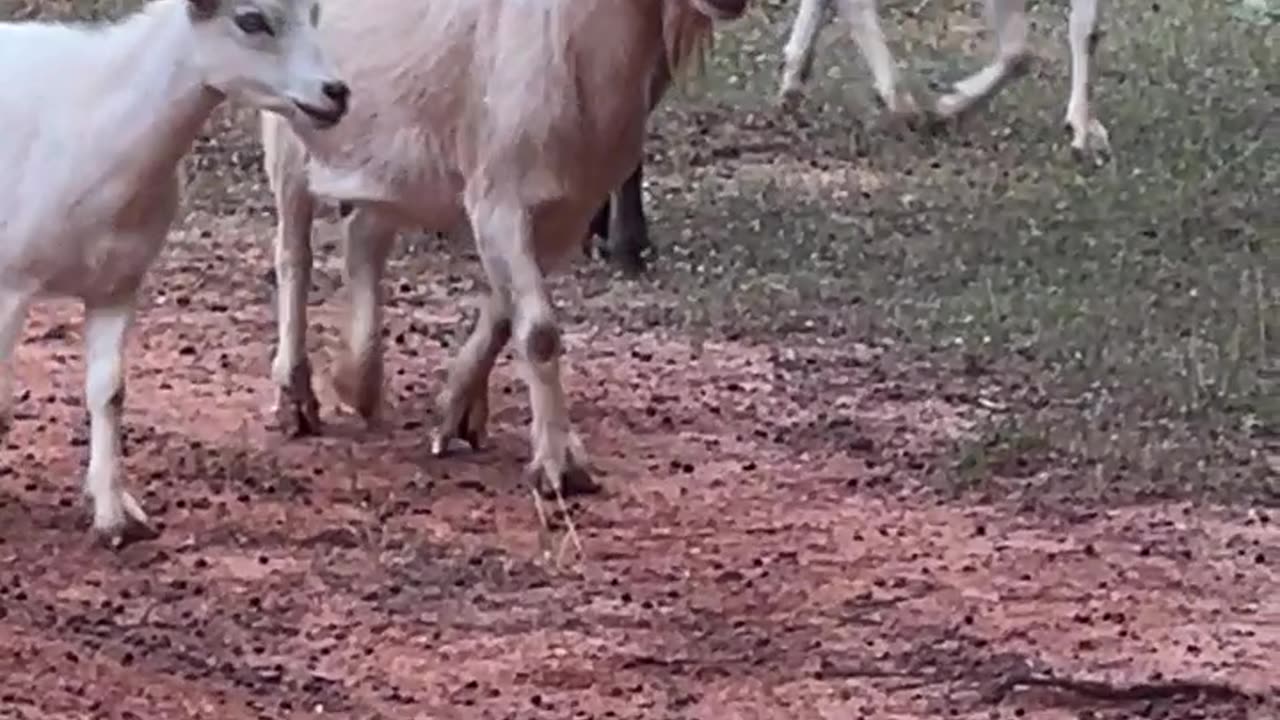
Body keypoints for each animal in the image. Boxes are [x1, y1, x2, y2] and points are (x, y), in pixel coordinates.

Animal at [0, 0, 347, 547]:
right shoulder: (12, 281)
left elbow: (109, 393)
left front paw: (114, 517)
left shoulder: (118, 284)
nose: (337, 93)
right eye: (251, 20)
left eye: (313, 13)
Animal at [262, 0, 749, 496]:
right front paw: (559, 465)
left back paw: (357, 381)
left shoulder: (565, 216)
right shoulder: (498, 197)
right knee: (294, 254)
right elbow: (539, 332)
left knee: (364, 235)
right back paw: (296, 396)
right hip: (288, 126)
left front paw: (456, 412)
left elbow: (504, 315)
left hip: (393, 161)